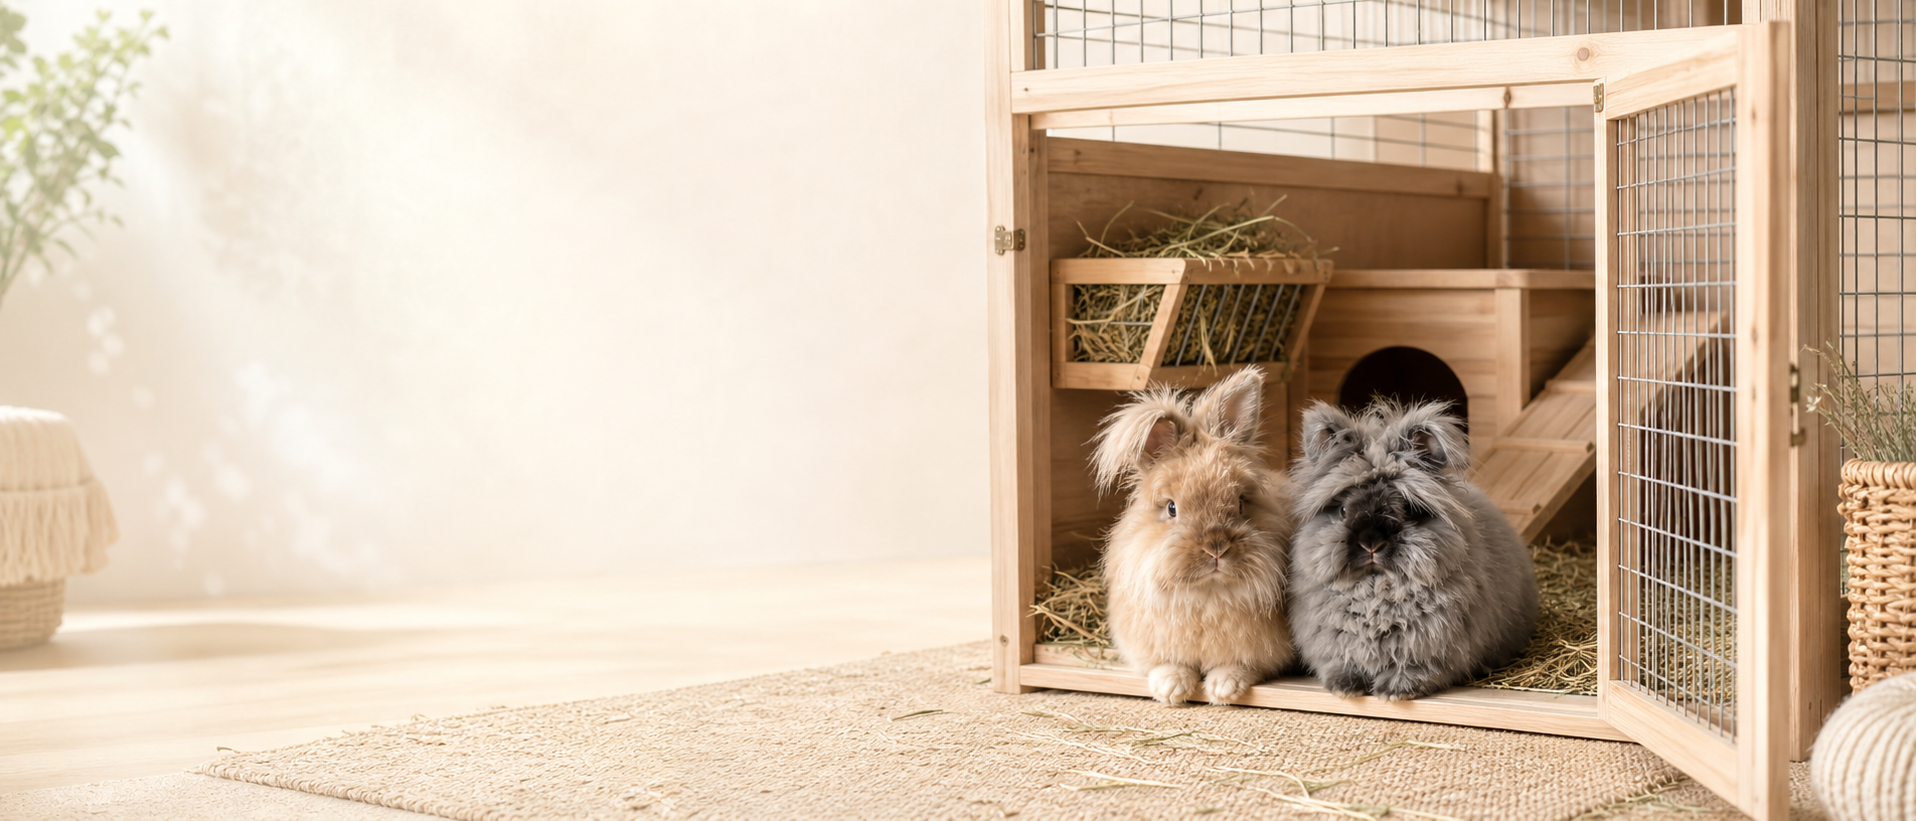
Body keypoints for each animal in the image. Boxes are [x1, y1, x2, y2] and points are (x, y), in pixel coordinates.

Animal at [1091, 366, 1296, 706]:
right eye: (1172, 508)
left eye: (1241, 503)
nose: (1216, 549)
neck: (1206, 594)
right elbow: (1167, 665)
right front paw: (1172, 689)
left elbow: (1239, 666)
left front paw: (1223, 689)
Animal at [1287, 399, 1538, 701]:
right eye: (1343, 510)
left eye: (1407, 510)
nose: (1371, 543)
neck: (1376, 590)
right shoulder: (1334, 647)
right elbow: (1341, 664)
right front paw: (1346, 689)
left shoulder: (1429, 650)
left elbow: (1415, 669)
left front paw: (1393, 692)